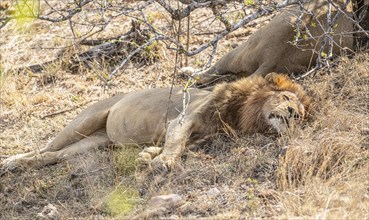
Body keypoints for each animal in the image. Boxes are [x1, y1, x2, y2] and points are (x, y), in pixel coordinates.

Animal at [0, 73, 310, 172]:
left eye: (300, 114)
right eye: (286, 98)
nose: (291, 113)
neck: (241, 111)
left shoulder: (201, 135)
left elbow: (179, 145)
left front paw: (149, 156)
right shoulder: (185, 117)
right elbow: (175, 143)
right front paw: (164, 161)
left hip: (94, 143)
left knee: (54, 156)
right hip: (84, 121)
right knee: (45, 148)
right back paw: (11, 161)